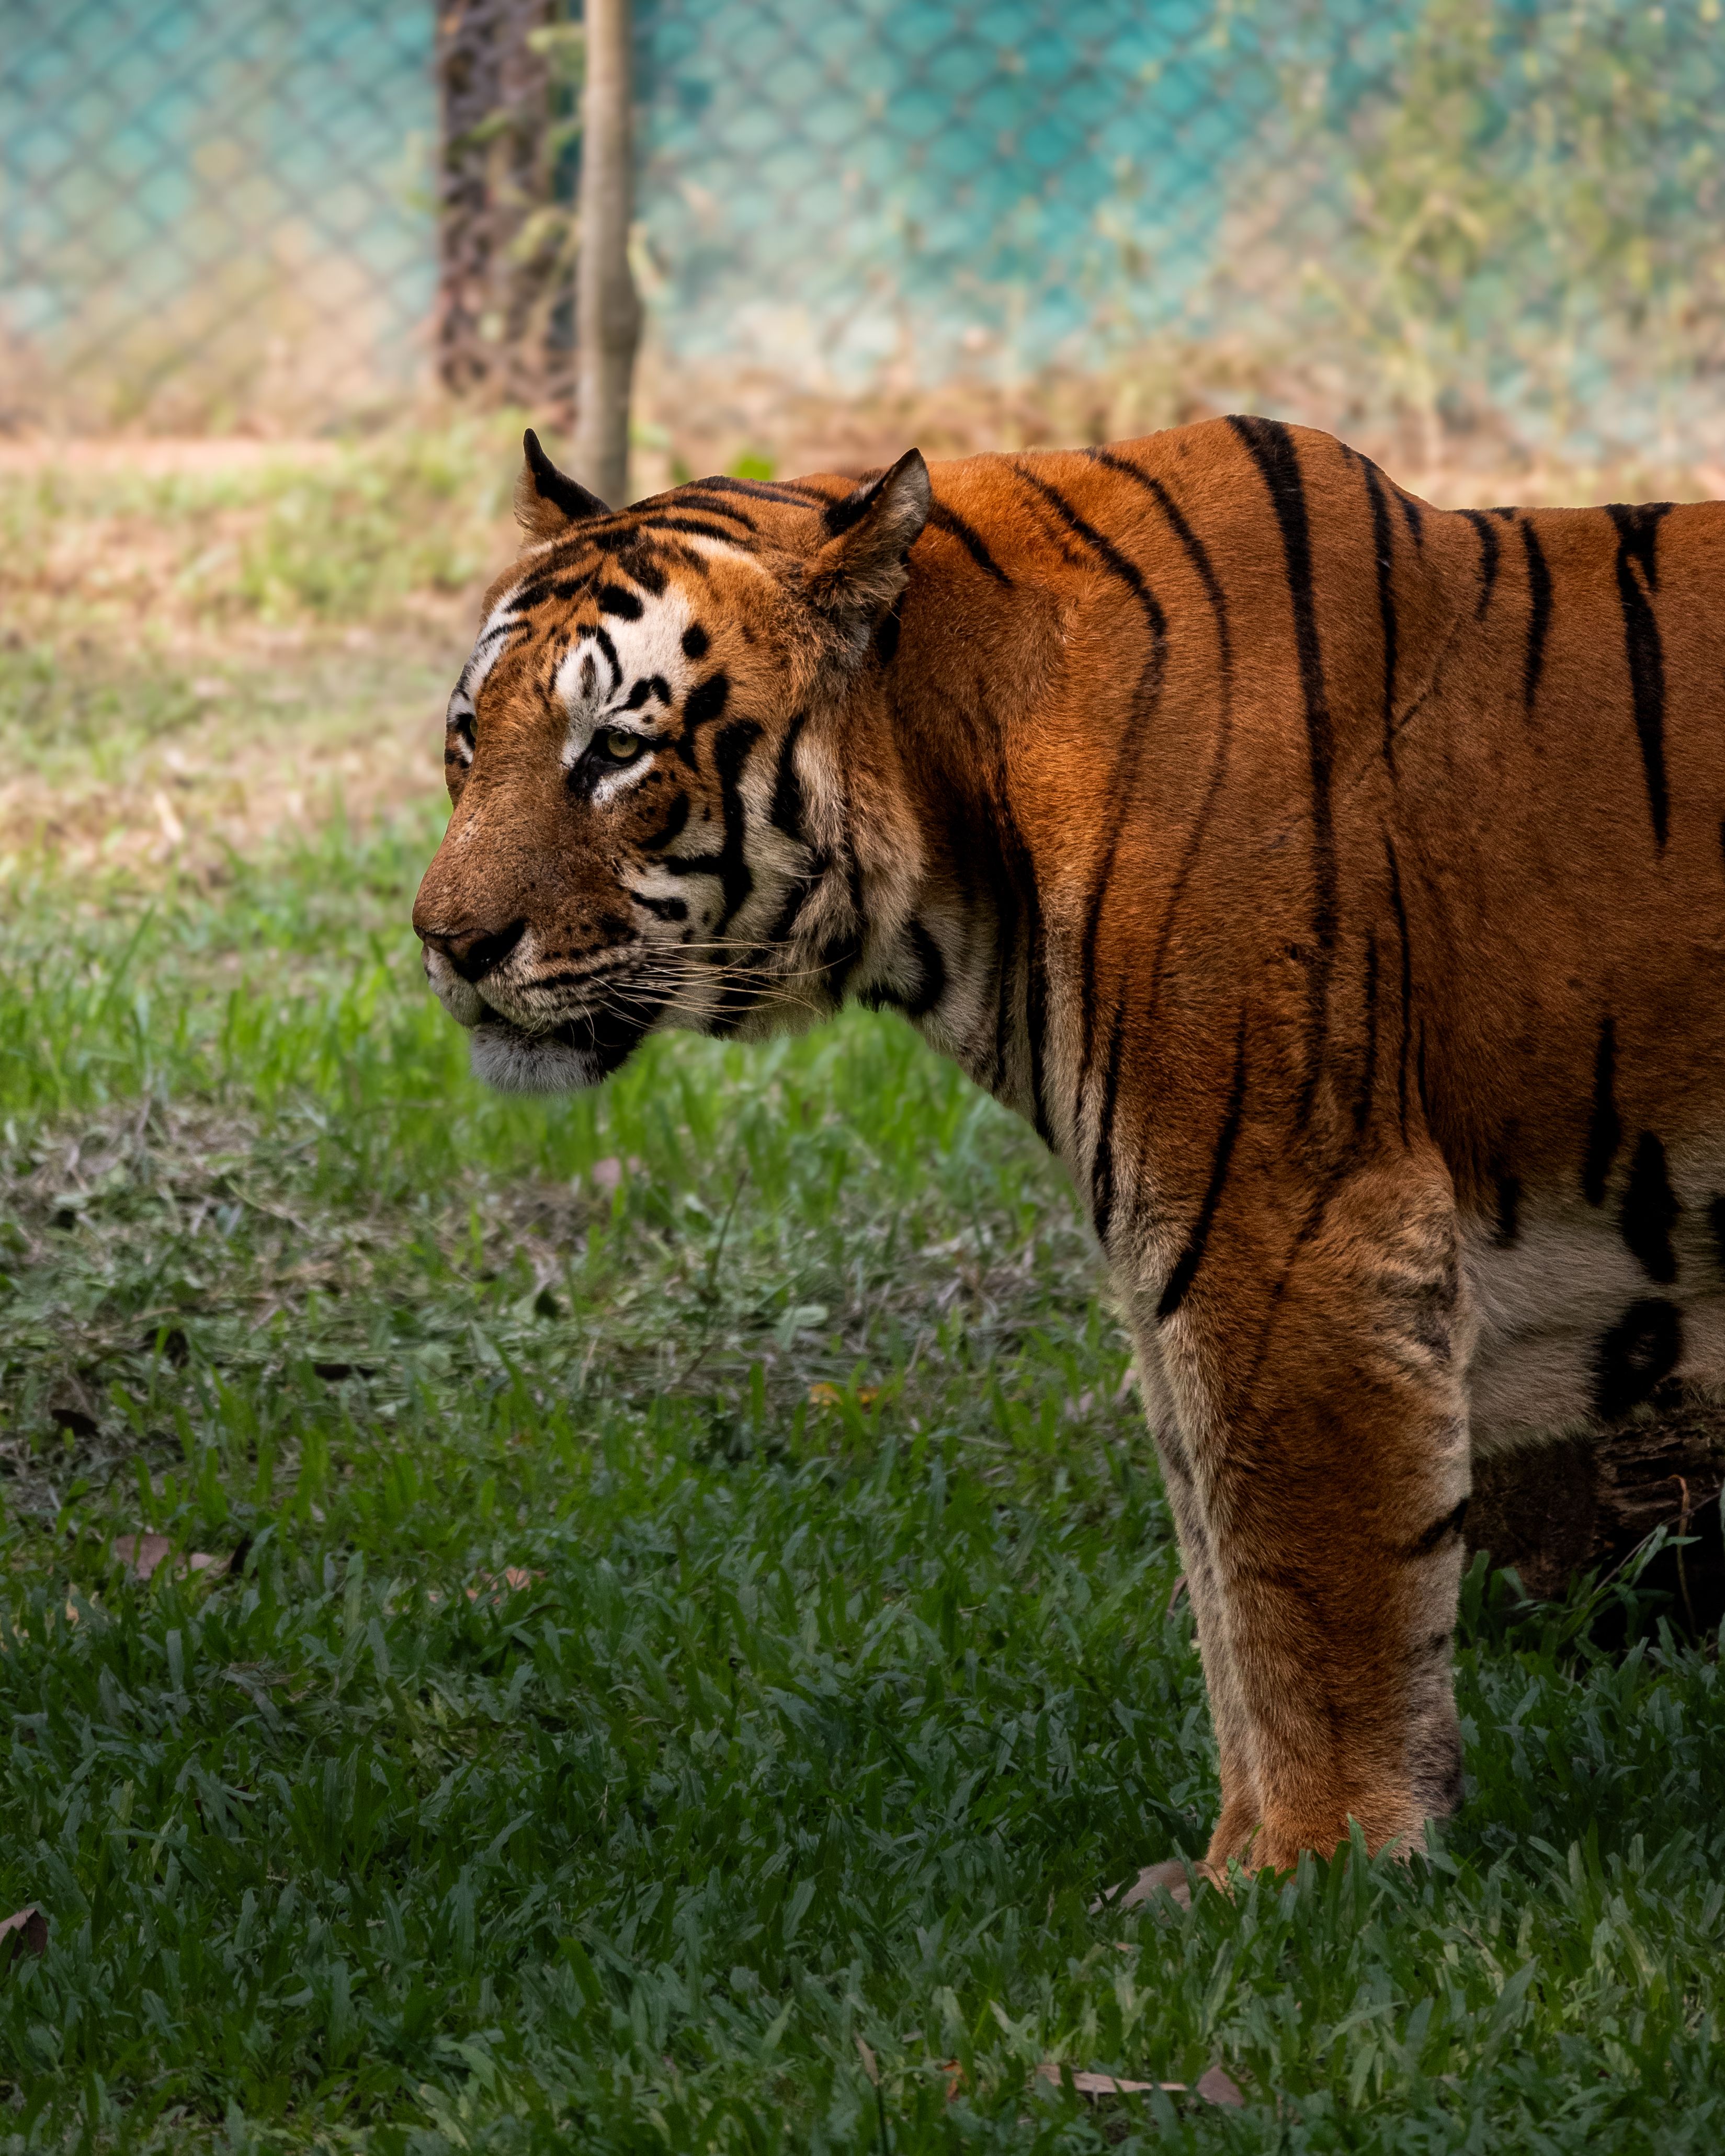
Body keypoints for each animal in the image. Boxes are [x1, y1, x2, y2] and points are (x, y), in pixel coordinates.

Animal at [412, 418, 1725, 1889]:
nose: (445, 943)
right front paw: (1224, 1871)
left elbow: (1303, 1576)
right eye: (468, 739)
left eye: (613, 754)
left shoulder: (1290, 1222)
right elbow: (1224, 1576)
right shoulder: (1182, 1254)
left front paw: (1312, 1869)